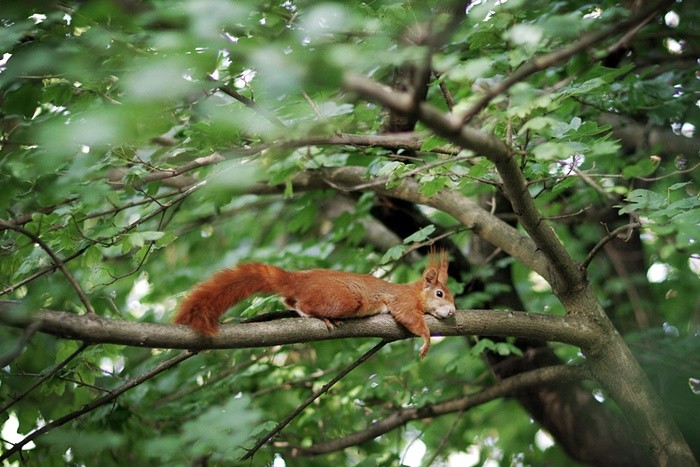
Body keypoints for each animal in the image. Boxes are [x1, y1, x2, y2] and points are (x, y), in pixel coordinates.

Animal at [175, 252, 456, 358]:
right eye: (440, 293)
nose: (453, 311)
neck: (414, 292)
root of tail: (300, 280)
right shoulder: (402, 302)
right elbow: (410, 318)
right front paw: (426, 339)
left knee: (290, 300)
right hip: (343, 299)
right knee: (306, 305)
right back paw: (321, 317)